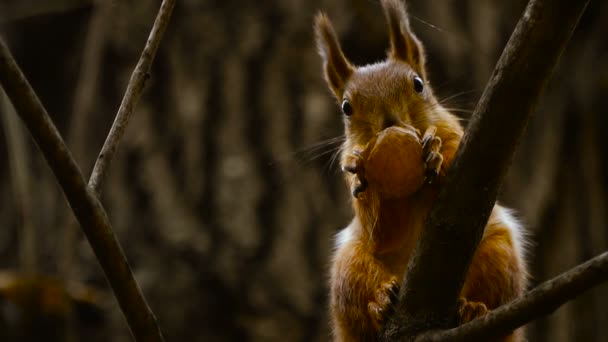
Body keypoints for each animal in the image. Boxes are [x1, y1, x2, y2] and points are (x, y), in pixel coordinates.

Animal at [314, 0, 528, 342]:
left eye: (418, 84)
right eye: (347, 107)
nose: (389, 123)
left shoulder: (456, 137)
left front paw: (436, 156)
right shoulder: (349, 165)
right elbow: (381, 232)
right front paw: (366, 176)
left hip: (499, 253)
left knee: (494, 291)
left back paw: (473, 308)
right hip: (349, 268)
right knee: (361, 295)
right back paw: (381, 300)